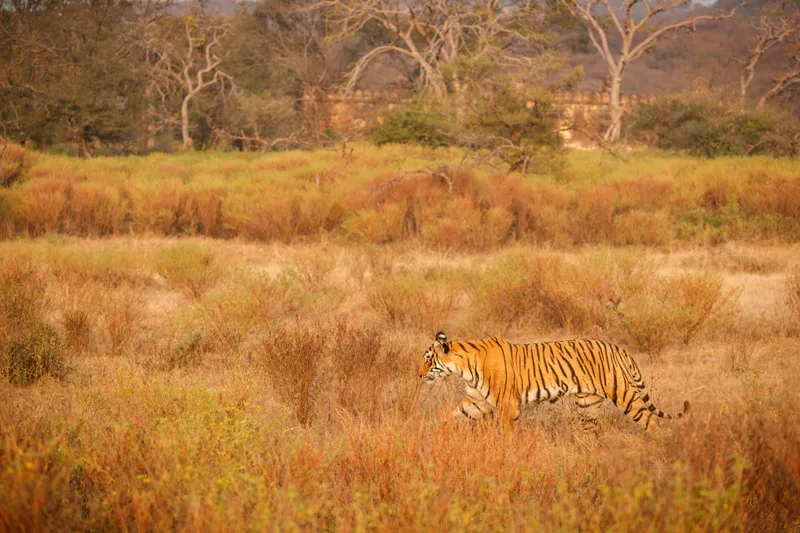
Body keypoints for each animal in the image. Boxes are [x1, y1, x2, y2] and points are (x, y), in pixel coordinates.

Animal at [418, 332, 689, 431]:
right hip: (588, 403)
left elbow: (507, 432)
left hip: (624, 393)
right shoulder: (477, 401)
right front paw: (430, 430)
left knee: (651, 420)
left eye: (428, 360)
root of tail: (618, 348)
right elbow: (453, 414)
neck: (464, 367)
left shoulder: (507, 404)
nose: (418, 375)